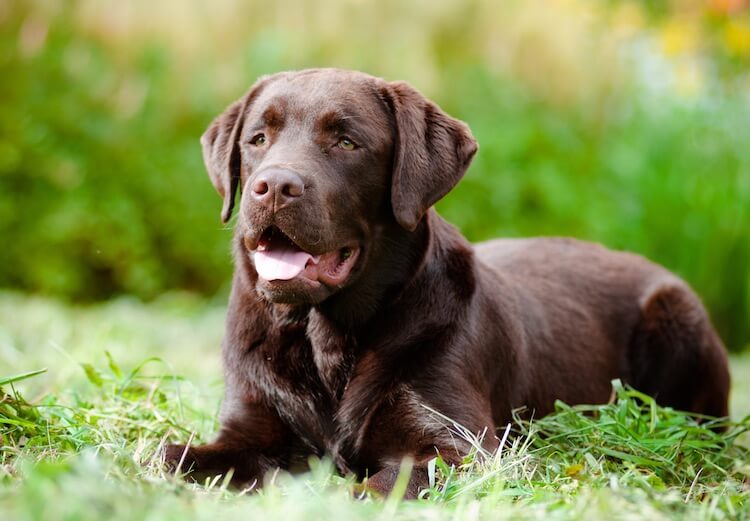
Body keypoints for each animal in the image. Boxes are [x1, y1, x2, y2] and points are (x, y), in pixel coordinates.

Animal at [163, 68, 728, 496]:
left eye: (346, 141)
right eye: (258, 139)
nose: (273, 186)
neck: (325, 337)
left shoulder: (459, 448)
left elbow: (367, 487)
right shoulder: (247, 426)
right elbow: (168, 455)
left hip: (677, 315)